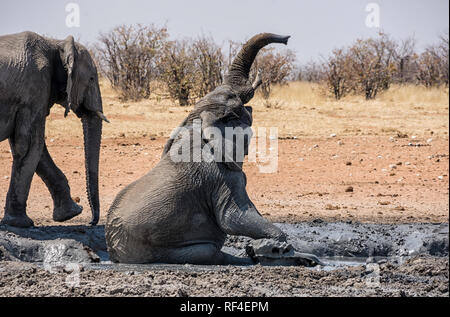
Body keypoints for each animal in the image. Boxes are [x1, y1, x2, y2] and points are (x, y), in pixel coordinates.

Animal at [0, 30, 108, 226]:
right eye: (91, 79)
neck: (55, 44)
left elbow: (35, 150)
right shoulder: (35, 90)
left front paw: (70, 214)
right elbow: (29, 148)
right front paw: (20, 223)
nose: (92, 222)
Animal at [107, 34, 294, 264]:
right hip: (157, 250)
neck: (199, 123)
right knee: (209, 251)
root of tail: (114, 254)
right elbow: (234, 218)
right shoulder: (223, 176)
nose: (286, 39)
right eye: (235, 110)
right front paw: (279, 246)